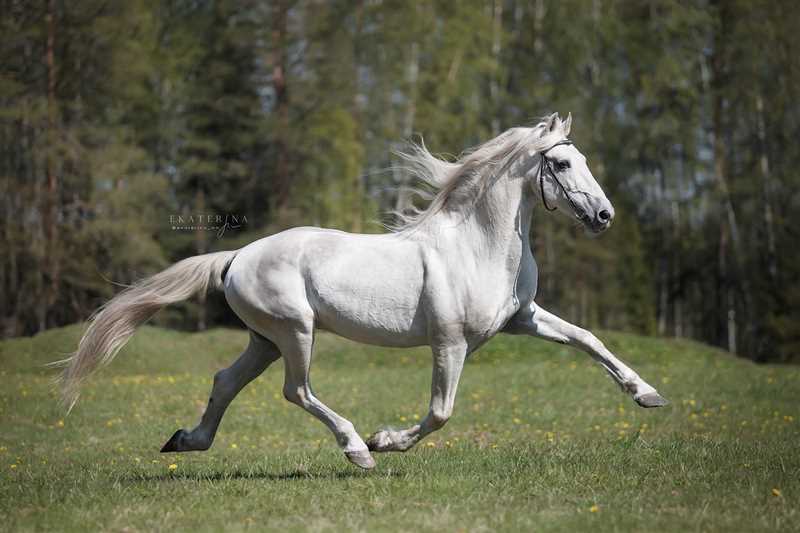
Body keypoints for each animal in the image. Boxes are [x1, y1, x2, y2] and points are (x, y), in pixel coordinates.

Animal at [57, 113, 668, 470]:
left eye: (582, 159)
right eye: (561, 162)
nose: (604, 216)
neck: (476, 245)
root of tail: (236, 257)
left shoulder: (523, 318)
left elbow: (587, 339)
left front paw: (647, 395)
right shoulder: (450, 344)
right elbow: (440, 412)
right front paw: (383, 441)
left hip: (264, 340)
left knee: (226, 381)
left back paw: (186, 441)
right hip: (295, 333)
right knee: (296, 392)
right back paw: (356, 450)